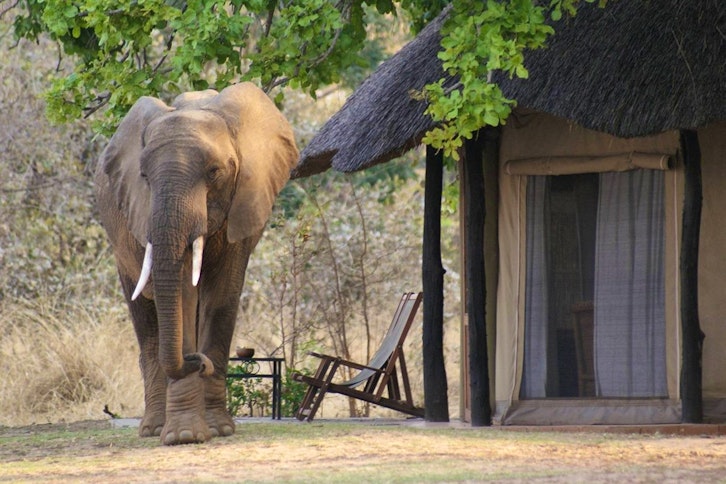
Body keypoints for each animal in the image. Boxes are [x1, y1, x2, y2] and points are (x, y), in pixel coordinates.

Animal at [94, 83, 298, 445]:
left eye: (215, 172)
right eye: (143, 176)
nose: (197, 361)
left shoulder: (242, 202)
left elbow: (221, 296)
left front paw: (218, 430)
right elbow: (183, 295)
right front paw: (184, 435)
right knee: (147, 326)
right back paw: (153, 429)